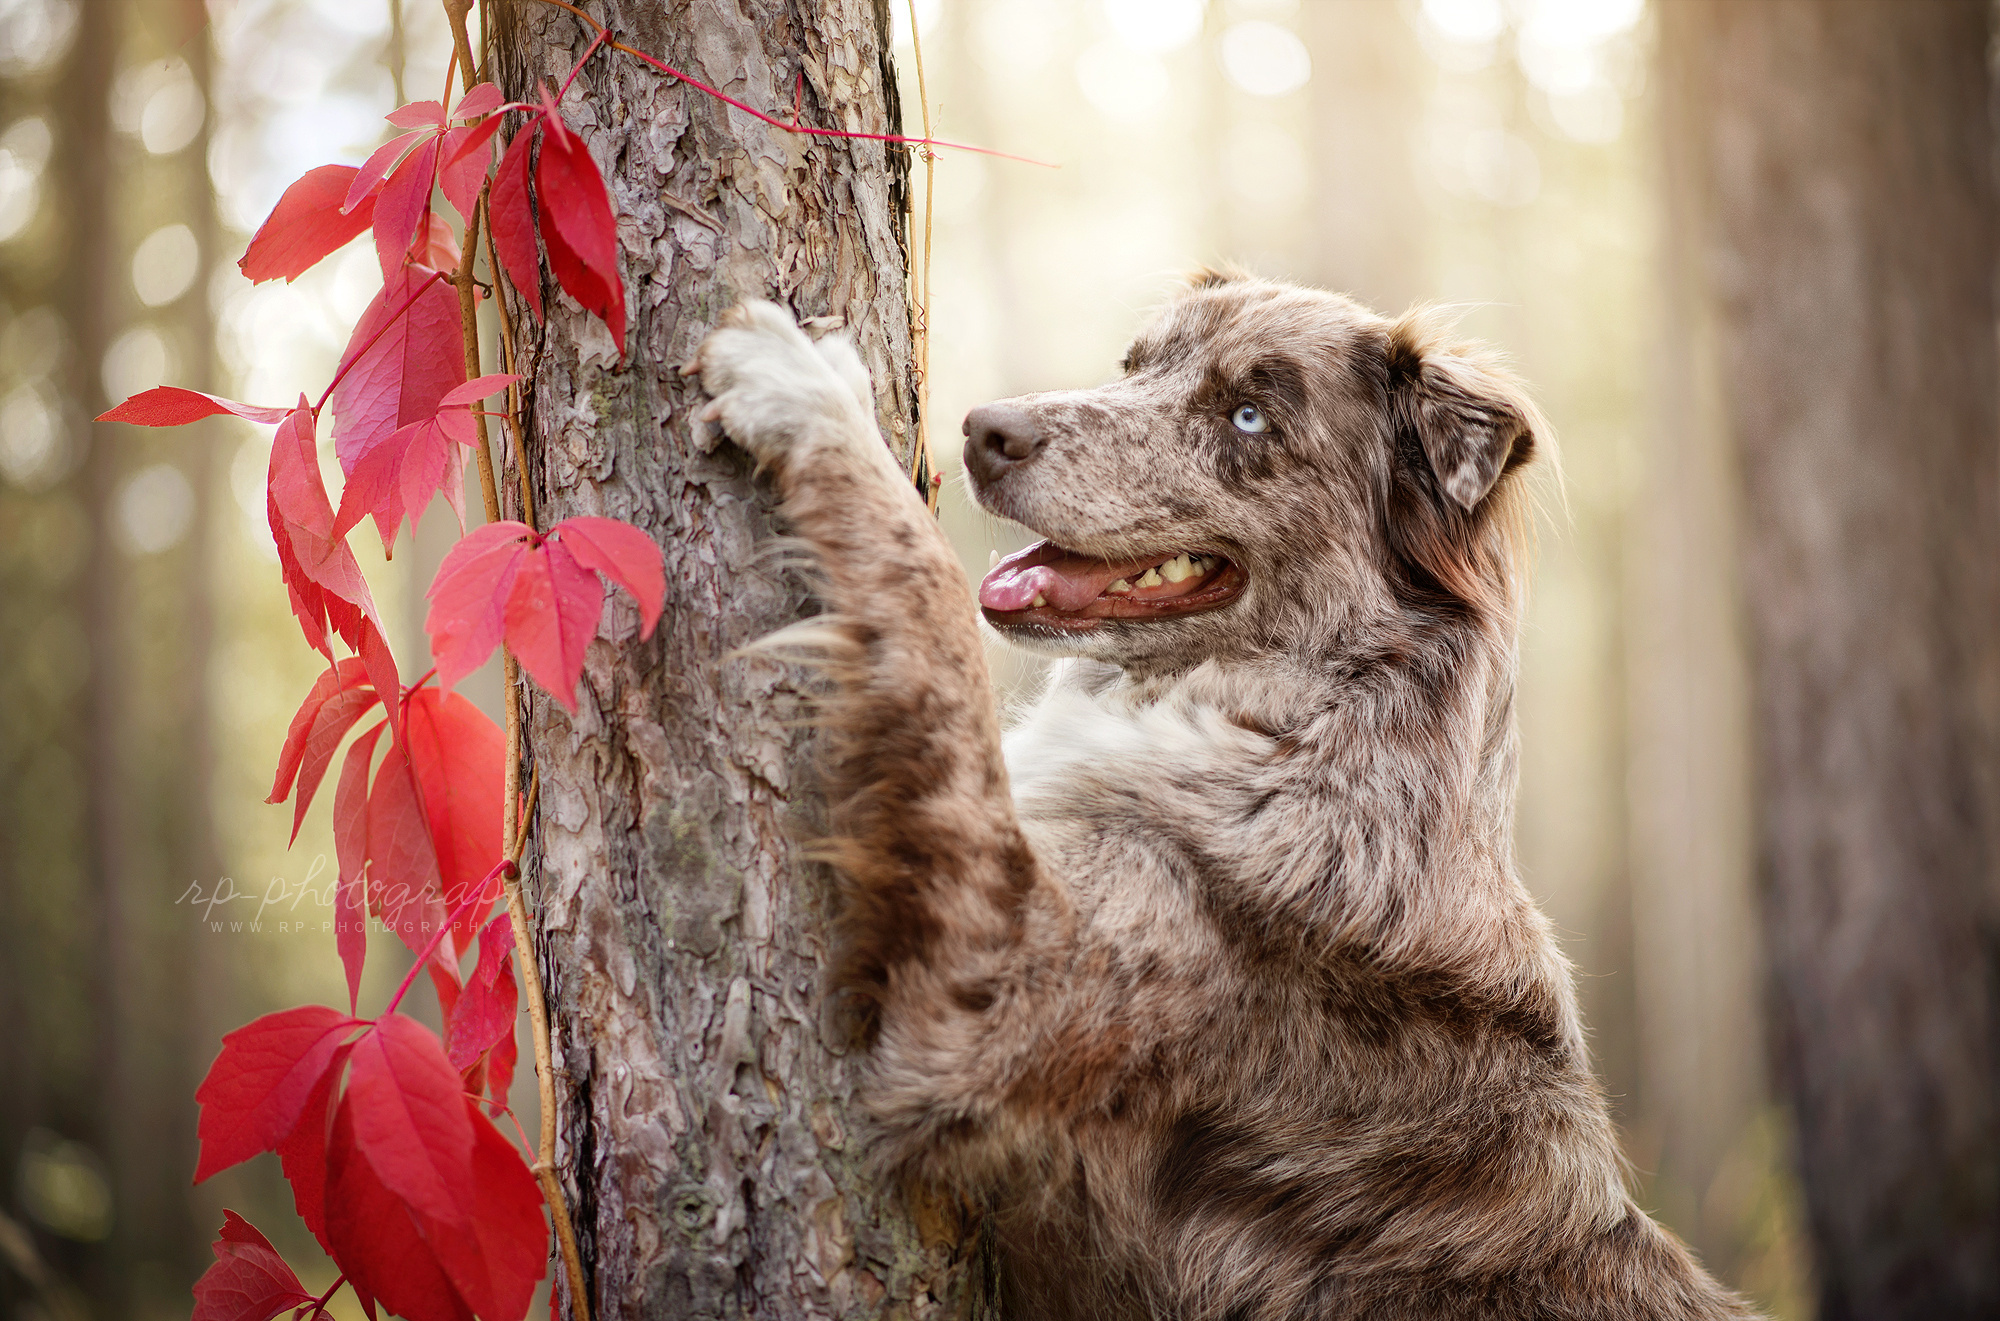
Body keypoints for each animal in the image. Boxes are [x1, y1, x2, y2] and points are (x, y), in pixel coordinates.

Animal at [696, 270, 1760, 1321]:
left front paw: (810, 395)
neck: (1291, 727)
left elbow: (933, 608)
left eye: (1248, 416)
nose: (985, 430)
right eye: (1134, 366)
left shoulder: (989, 978)